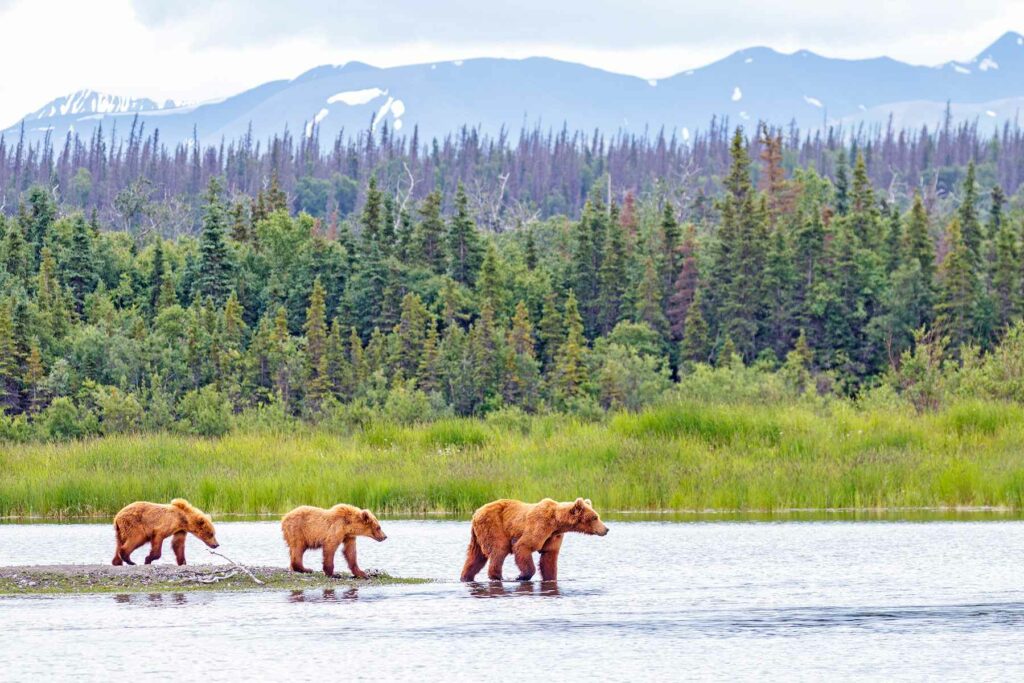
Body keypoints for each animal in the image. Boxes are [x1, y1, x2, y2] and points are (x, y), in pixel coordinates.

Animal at [458, 497, 606, 581]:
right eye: (595, 517)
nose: (606, 529)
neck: (557, 523)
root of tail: (476, 513)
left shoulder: (553, 536)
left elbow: (549, 558)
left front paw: (550, 578)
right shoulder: (540, 525)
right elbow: (523, 546)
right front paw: (521, 576)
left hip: (478, 535)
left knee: (475, 556)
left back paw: (466, 577)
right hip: (493, 526)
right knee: (499, 550)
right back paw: (498, 577)